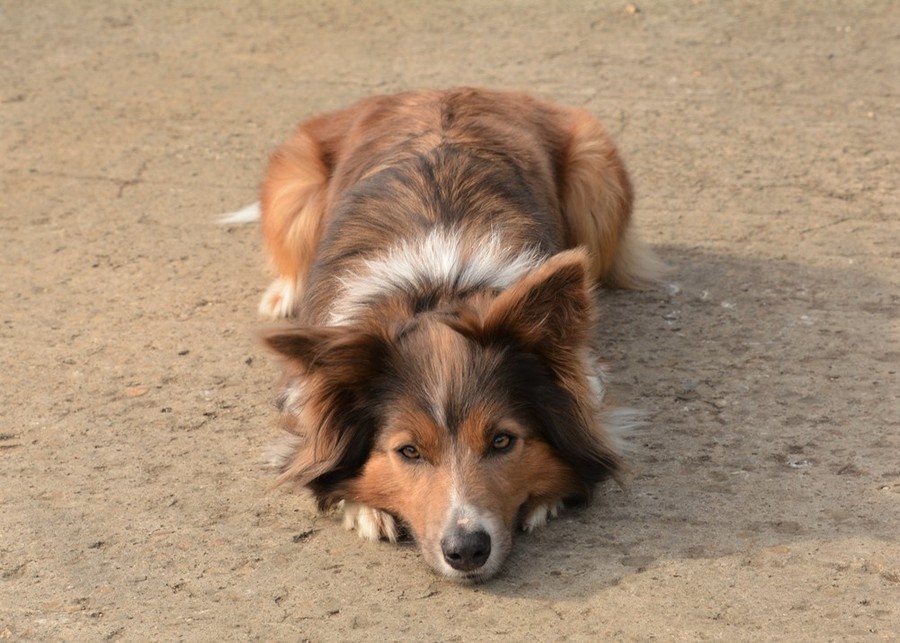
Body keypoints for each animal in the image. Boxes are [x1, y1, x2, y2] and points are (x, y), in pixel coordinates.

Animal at [251, 87, 660, 584]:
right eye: (408, 451)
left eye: (502, 441)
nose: (466, 551)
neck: (436, 292)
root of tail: (441, 89)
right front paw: (365, 509)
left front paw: (543, 500)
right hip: (294, 189)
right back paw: (283, 294)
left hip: (594, 174)